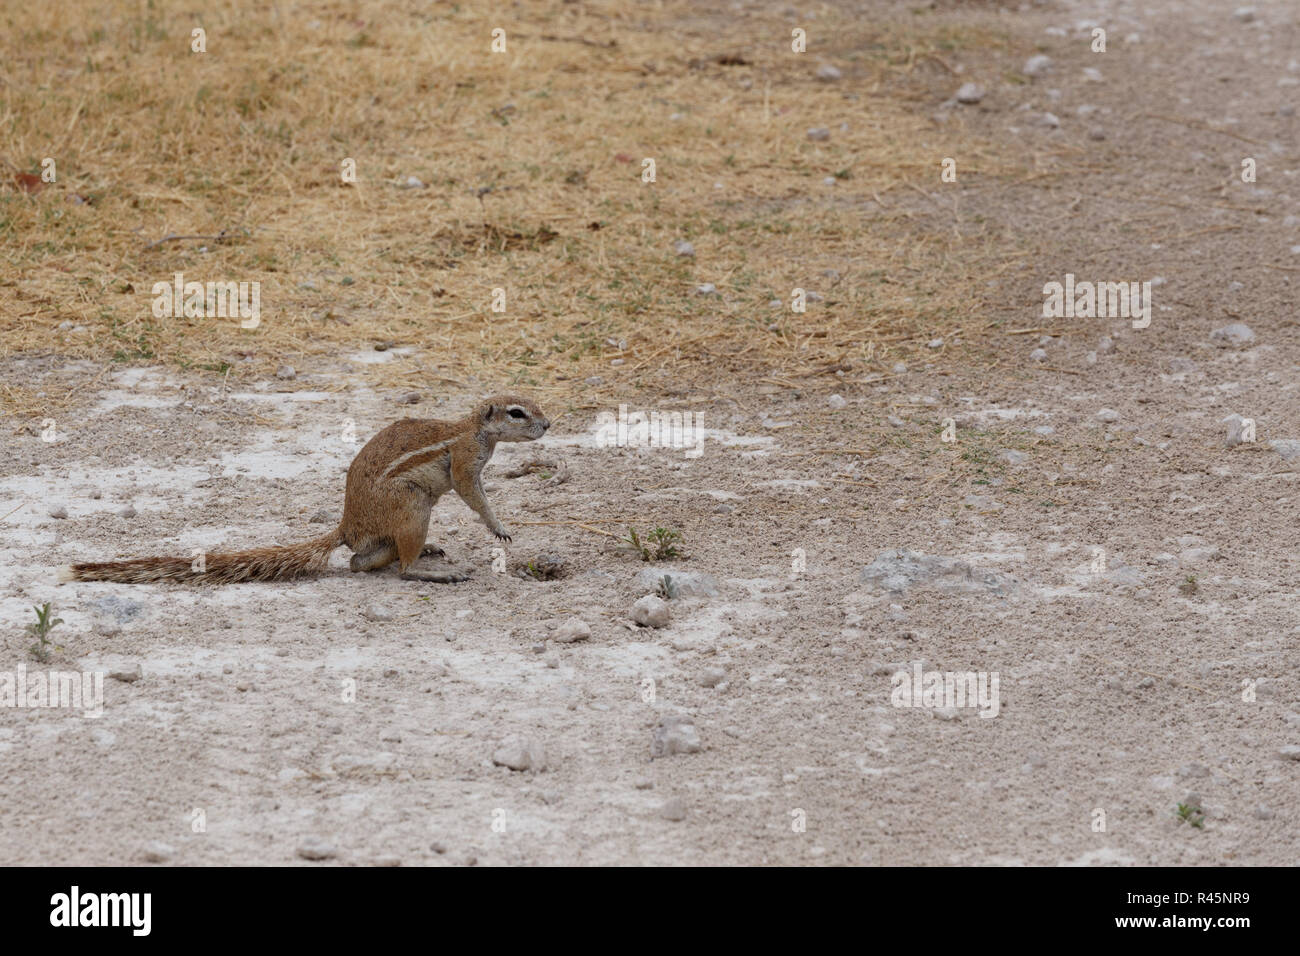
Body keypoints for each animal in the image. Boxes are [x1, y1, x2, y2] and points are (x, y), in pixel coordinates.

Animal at [62, 395, 548, 582]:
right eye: (517, 412)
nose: (548, 425)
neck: (475, 430)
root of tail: (347, 526)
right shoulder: (465, 462)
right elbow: (472, 494)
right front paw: (499, 527)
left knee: (360, 561)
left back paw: (422, 552)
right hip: (411, 505)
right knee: (395, 566)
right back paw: (429, 568)